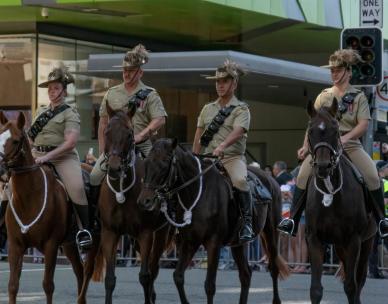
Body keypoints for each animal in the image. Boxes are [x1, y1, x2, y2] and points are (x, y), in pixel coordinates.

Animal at [0, 112, 84, 304]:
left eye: (15, 141)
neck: (29, 198)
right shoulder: (15, 245)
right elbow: (12, 285)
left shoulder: (50, 245)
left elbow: (48, 285)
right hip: (69, 245)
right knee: (80, 273)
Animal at [304, 98, 374, 302]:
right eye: (310, 131)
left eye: (335, 130)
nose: (323, 166)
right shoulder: (314, 239)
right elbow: (316, 289)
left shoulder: (354, 240)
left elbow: (351, 286)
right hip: (340, 246)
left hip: (366, 243)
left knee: (359, 281)